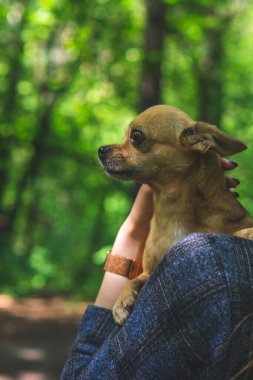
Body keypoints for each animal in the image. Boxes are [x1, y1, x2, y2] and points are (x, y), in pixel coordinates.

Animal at [98, 105, 252, 326]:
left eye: (136, 136)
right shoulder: (148, 272)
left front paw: (247, 232)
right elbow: (133, 279)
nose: (101, 149)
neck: (171, 212)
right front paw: (120, 301)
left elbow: (238, 232)